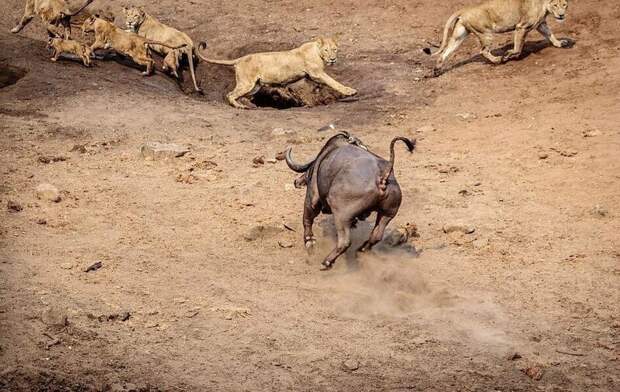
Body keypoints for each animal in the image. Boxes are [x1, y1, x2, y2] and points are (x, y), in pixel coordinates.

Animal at [286, 132, 416, 270]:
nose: (296, 182)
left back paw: (327, 262)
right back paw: (361, 249)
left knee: (345, 242)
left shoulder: (312, 198)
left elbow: (307, 219)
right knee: (376, 236)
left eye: (308, 172)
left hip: (341, 215)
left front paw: (309, 242)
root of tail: (383, 175)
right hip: (386, 214)